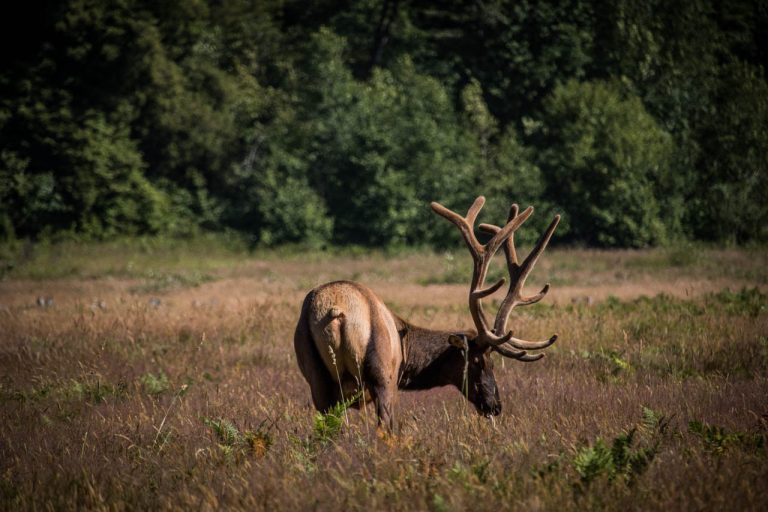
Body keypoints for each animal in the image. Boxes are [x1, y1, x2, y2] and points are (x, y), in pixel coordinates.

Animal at [294, 196, 560, 428]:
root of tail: (336, 311)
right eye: (481, 361)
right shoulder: (392, 376)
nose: (495, 406)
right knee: (384, 429)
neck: (407, 352)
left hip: (316, 376)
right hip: (381, 374)